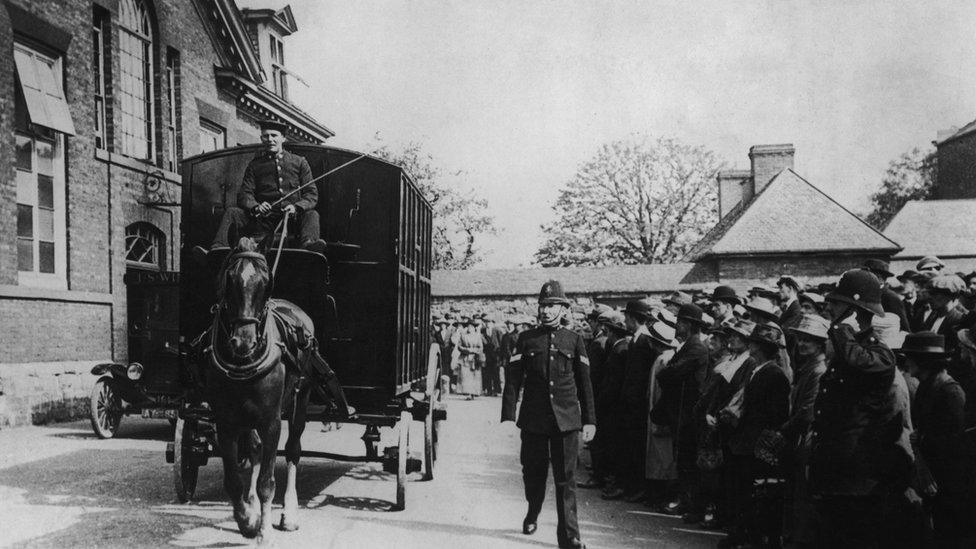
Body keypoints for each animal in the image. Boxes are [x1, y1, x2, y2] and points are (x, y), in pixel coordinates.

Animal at [204, 238, 318, 540]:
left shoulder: (271, 420)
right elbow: (233, 480)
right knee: (254, 449)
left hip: (301, 398)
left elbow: (268, 481)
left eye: (266, 281)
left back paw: (289, 513)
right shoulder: (226, 421)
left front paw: (264, 532)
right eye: (229, 278)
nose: (244, 341)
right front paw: (248, 519)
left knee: (293, 450)